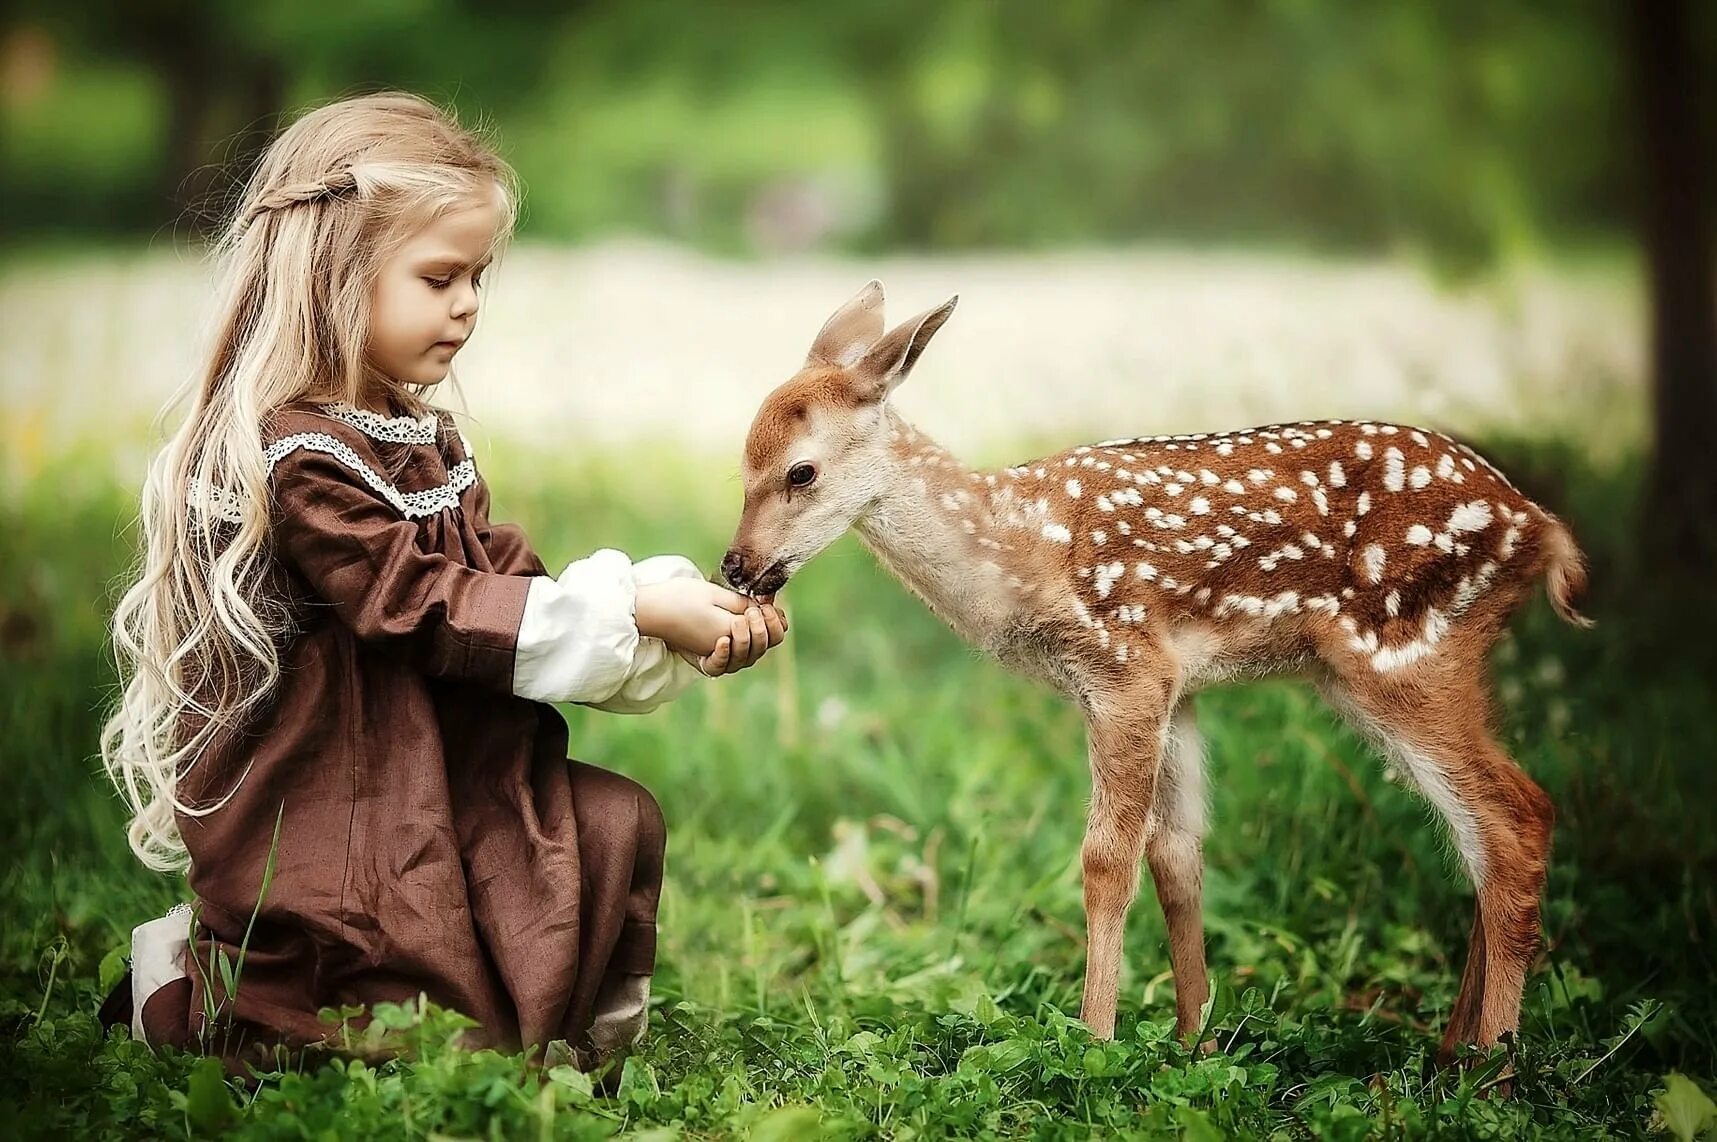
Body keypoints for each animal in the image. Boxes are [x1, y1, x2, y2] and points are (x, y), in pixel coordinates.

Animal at [717, 278, 1586, 1057]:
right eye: (741, 463)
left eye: (800, 471)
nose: (735, 566)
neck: (1018, 550)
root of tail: (1540, 530)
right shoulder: (1177, 683)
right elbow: (1177, 853)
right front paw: (1193, 1039)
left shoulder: (1123, 666)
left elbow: (1106, 858)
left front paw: (1094, 1040)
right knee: (1482, 833)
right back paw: (1449, 1050)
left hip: (1408, 653)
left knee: (1513, 818)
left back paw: (1494, 1066)